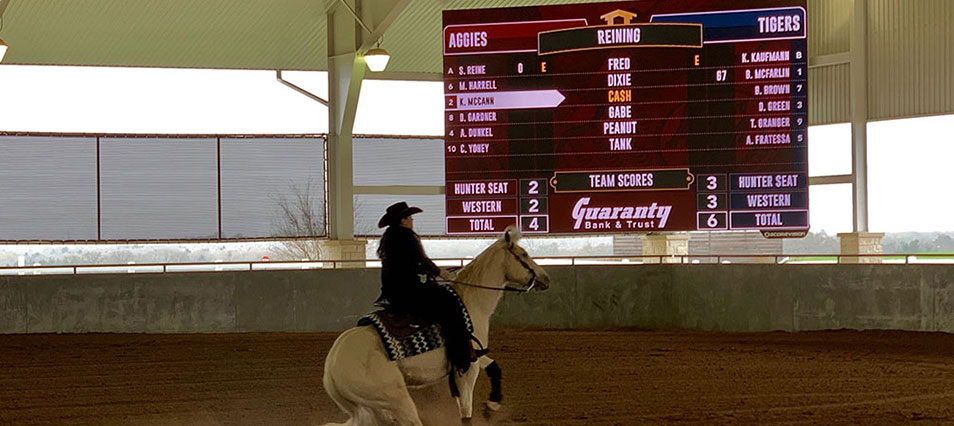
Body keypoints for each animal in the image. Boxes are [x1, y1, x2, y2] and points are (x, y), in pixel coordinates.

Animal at [322, 225, 552, 424]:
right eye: (523, 254)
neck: (470, 301)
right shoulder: (467, 368)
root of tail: (331, 368)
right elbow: (466, 413)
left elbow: (494, 367)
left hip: (376, 409)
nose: (546, 278)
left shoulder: (473, 355)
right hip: (396, 400)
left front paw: (492, 405)